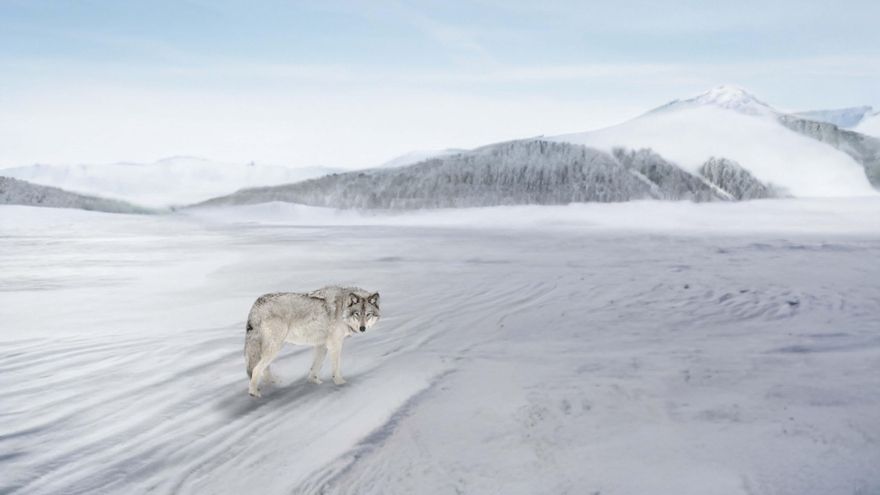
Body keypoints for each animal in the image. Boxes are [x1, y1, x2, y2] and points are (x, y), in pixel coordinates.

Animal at [244, 286, 380, 397]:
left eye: (368, 314)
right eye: (357, 314)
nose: (362, 328)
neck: (342, 309)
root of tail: (257, 303)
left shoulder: (321, 345)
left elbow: (315, 367)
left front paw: (314, 382)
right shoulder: (335, 345)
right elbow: (336, 367)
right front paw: (340, 382)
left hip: (272, 348)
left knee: (264, 368)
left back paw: (274, 383)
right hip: (274, 348)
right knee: (256, 369)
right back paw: (254, 393)